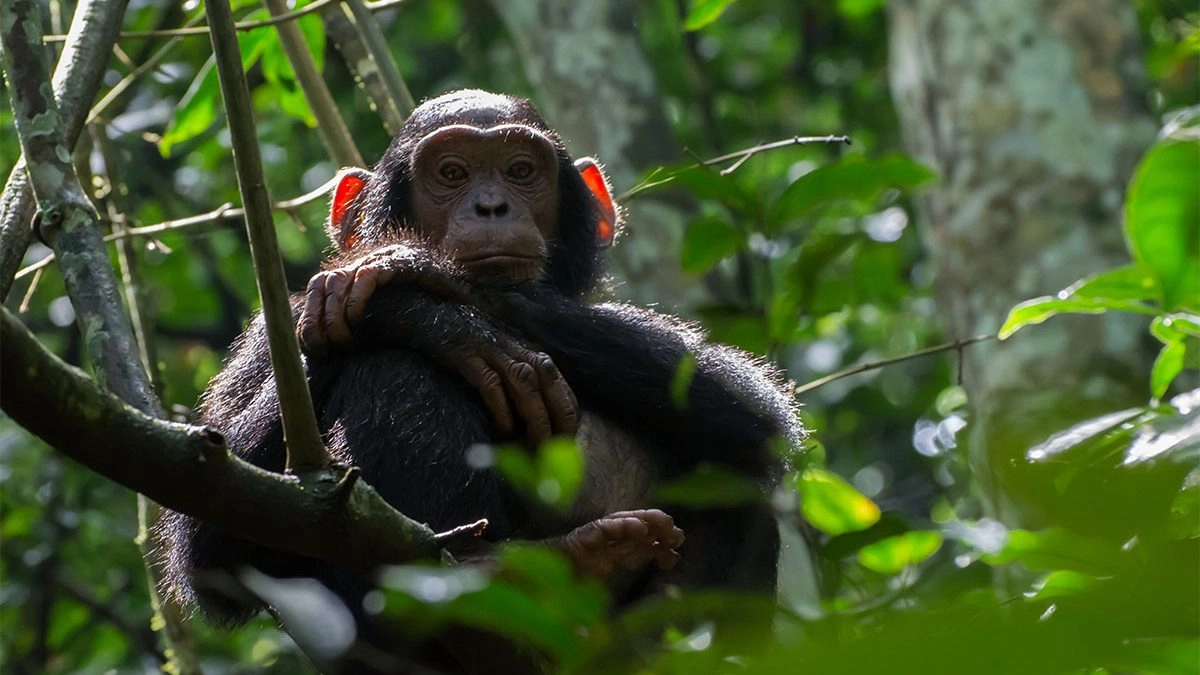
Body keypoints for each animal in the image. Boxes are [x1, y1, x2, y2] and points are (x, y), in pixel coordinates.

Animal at [161, 89, 799, 674]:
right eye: (451, 173)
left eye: (521, 171)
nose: (492, 206)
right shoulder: (265, 337)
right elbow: (211, 537)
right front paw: (434, 321)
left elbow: (753, 410)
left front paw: (412, 276)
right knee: (392, 368)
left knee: (737, 480)